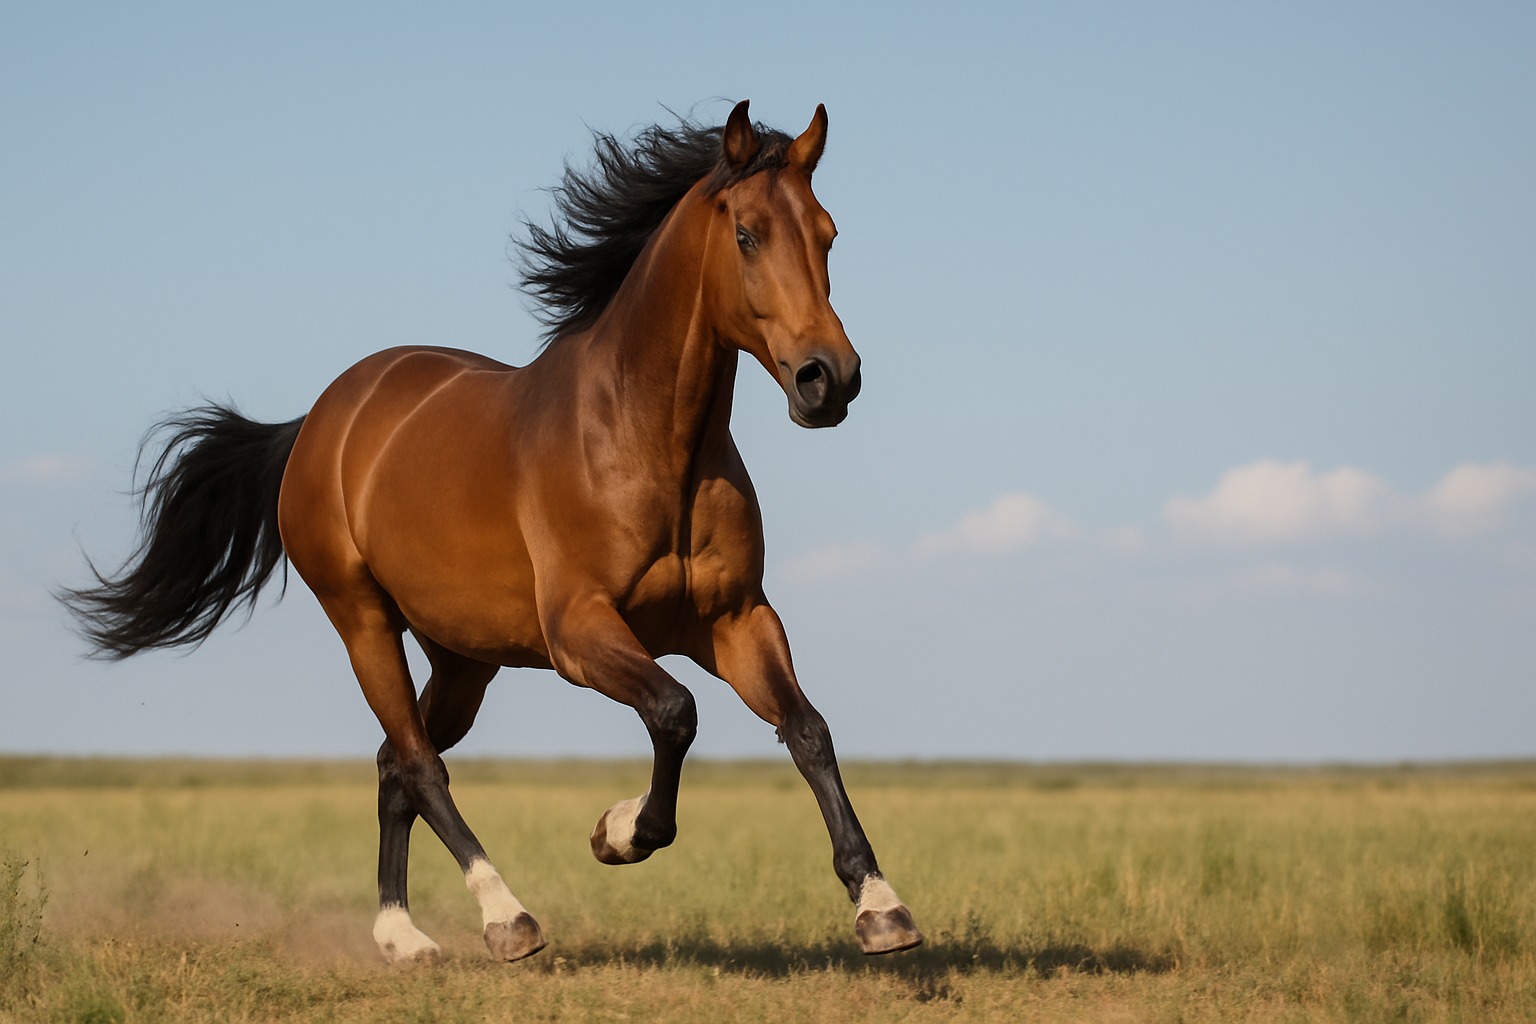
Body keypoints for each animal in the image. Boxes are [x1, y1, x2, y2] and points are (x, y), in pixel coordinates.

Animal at [62, 100, 923, 963]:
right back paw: (504, 917)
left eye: (828, 234)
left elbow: (806, 729)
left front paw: (881, 907)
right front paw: (617, 833)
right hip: (364, 621)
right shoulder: (579, 633)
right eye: (746, 234)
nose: (829, 379)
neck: (647, 441)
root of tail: (321, 420)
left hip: (464, 658)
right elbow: (675, 711)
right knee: (419, 765)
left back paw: (401, 935)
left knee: (395, 761)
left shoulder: (735, 619)